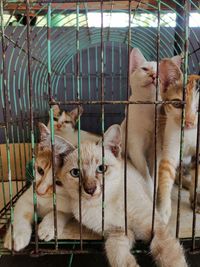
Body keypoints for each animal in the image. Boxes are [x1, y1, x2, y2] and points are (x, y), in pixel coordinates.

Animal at [3, 124, 72, 253]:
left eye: (59, 183)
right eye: (40, 170)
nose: (40, 191)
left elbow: (60, 212)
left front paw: (48, 227)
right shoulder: (25, 198)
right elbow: (21, 213)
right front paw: (16, 236)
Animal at [57, 124, 188, 267]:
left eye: (101, 168)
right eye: (75, 173)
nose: (90, 189)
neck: (106, 202)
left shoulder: (155, 225)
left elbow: (170, 256)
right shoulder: (118, 233)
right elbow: (116, 253)